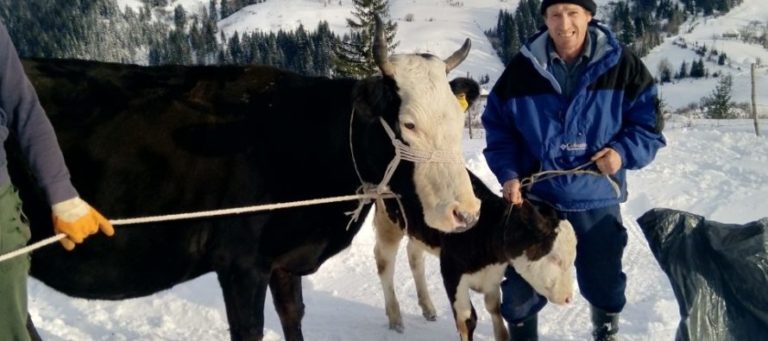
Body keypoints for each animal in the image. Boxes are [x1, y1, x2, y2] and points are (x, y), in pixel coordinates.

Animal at [10, 19, 480, 338]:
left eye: (459, 118)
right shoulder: (239, 264)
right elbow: (250, 329)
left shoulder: (284, 261)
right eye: (409, 123)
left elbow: (293, 317)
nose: (467, 212)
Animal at [372, 171, 576, 338]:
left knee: (414, 256)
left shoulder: (492, 276)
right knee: (384, 263)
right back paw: (395, 318)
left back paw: (428, 308)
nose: (568, 298)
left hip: (417, 230)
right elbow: (467, 320)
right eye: (555, 259)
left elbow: (495, 309)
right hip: (387, 219)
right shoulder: (452, 274)